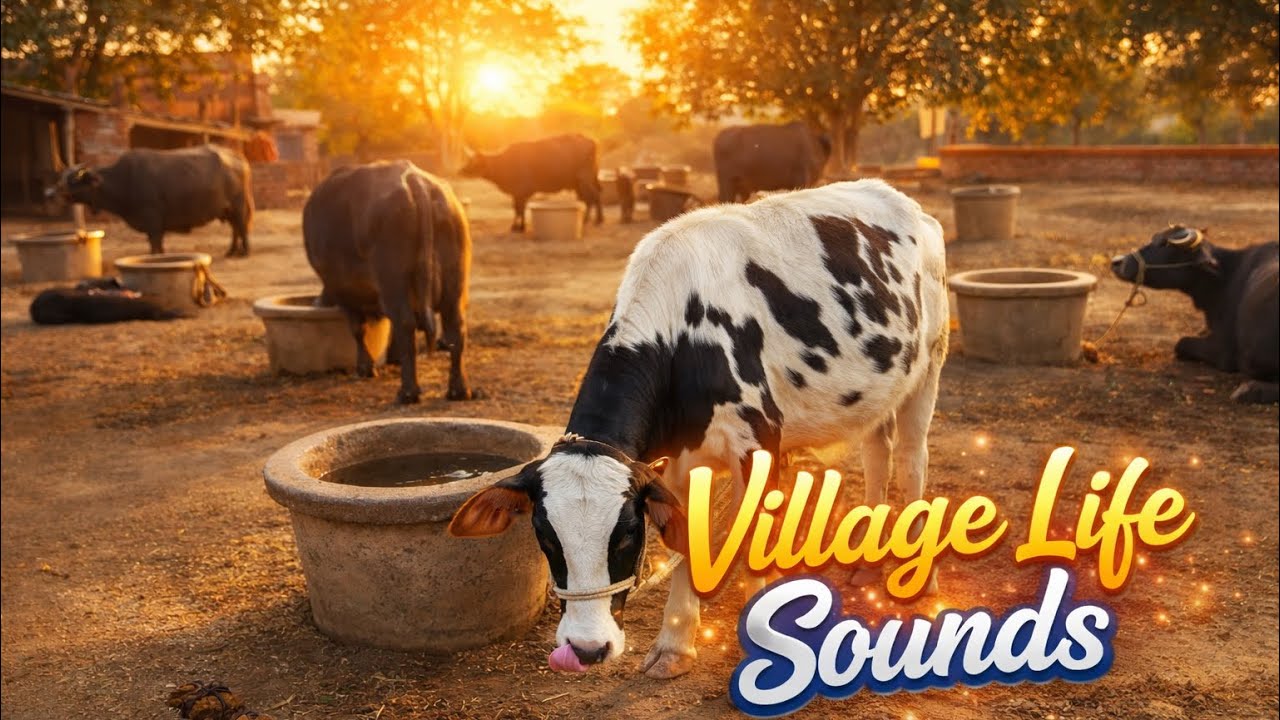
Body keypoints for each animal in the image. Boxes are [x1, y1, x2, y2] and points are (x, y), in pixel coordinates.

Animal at [47, 144, 254, 257]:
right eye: (62, 178)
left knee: (241, 226)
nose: (50, 193)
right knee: (235, 228)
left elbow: (155, 245)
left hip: (238, 205)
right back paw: (231, 251)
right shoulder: (153, 226)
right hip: (226, 210)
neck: (124, 181)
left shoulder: (153, 221)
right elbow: (157, 245)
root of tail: (239, 159)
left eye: (73, 180)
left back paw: (245, 252)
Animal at [303, 160, 474, 404]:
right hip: (454, 283)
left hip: (393, 281)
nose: (318, 301)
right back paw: (458, 391)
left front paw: (365, 368)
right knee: (456, 327)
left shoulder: (346, 294)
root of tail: (415, 181)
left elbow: (359, 329)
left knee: (404, 322)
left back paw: (408, 393)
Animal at [449, 179, 949, 678]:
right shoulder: (673, 464)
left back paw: (920, 575)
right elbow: (691, 537)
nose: (587, 648)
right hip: (880, 389)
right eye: (546, 536)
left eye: (628, 532)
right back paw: (867, 564)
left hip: (928, 367)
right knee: (877, 452)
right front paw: (674, 645)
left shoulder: (757, 445)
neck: (684, 338)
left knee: (912, 458)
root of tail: (894, 195)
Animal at [460, 133, 603, 233]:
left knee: (594, 196)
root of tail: (591, 141)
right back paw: (589, 220)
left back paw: (595, 220)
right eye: (470, 160)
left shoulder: (521, 192)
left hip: (585, 179)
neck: (504, 163)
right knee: (589, 199)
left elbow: (519, 209)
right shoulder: (517, 194)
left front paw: (519, 227)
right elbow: (517, 209)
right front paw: (517, 227)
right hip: (580, 182)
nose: (461, 170)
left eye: (474, 163)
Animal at [1111, 224, 1279, 404]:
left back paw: (1250, 390)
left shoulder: (1222, 352)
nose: (1117, 262)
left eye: (1166, 244)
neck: (1224, 277)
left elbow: (1180, 343)